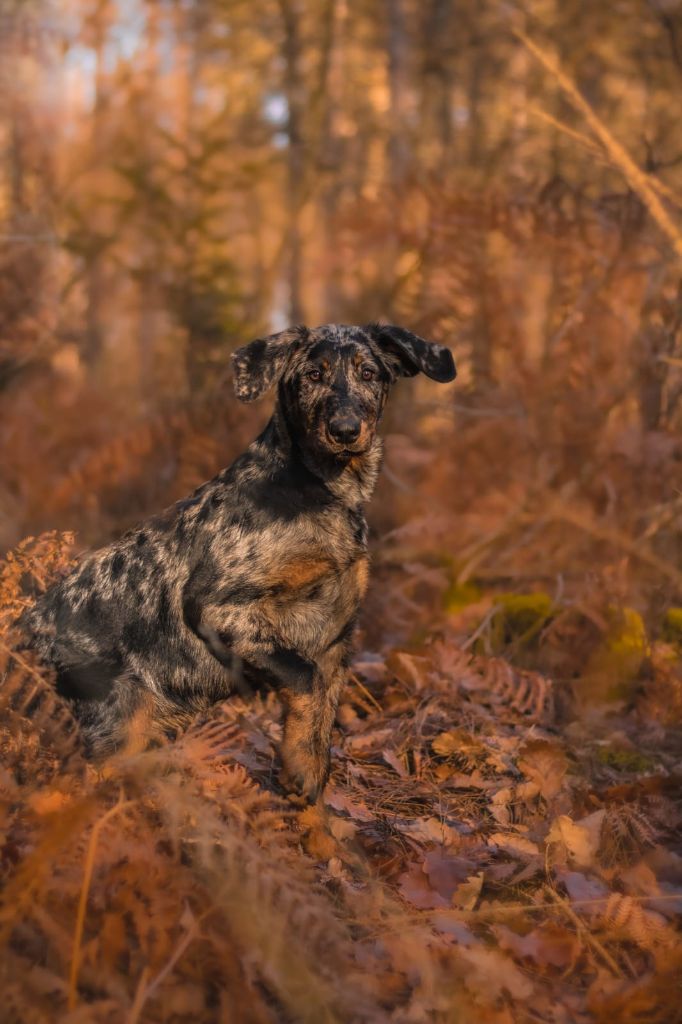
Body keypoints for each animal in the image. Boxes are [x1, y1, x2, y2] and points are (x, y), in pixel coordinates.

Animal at [23, 323, 454, 802]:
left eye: (369, 373)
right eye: (312, 376)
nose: (345, 430)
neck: (323, 488)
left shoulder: (337, 635)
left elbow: (323, 716)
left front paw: (309, 779)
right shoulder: (219, 607)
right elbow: (304, 678)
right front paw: (296, 767)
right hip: (119, 707)